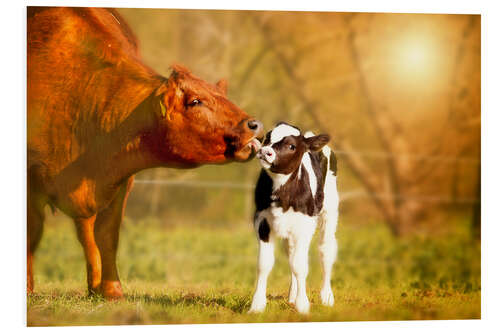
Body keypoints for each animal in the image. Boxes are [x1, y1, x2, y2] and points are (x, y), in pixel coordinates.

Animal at [27, 7, 264, 298]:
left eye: (223, 96)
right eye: (195, 101)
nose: (253, 124)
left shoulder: (119, 180)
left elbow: (107, 234)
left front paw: (112, 291)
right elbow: (31, 234)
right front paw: (26, 289)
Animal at [248, 122, 338, 314]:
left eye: (291, 146)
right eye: (267, 137)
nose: (265, 151)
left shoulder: (304, 226)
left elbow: (300, 265)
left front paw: (303, 305)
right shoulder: (262, 221)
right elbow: (264, 264)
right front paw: (257, 306)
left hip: (330, 212)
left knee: (325, 250)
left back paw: (327, 297)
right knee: (291, 254)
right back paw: (292, 295)